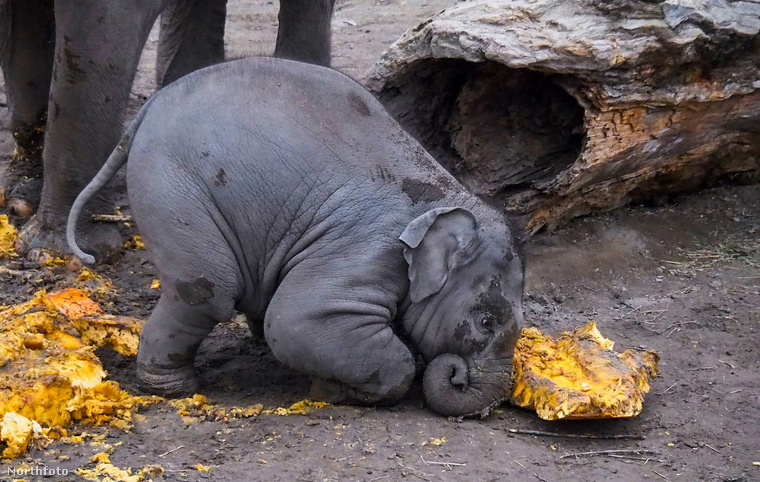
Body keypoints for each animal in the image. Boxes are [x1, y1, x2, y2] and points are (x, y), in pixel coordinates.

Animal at [67, 57, 524, 418]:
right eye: (485, 322)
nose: (458, 376)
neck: (444, 196)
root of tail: (148, 108)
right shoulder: (369, 251)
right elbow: (295, 320)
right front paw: (335, 391)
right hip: (171, 189)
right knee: (204, 292)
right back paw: (174, 390)